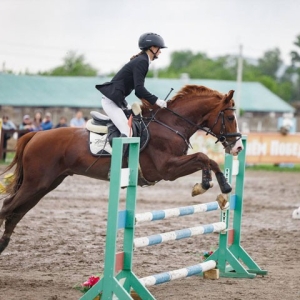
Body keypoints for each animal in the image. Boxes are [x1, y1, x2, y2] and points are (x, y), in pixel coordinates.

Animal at [0, 84, 244, 253]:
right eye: (231, 116)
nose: (238, 147)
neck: (170, 126)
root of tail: (35, 134)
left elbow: (206, 160)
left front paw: (205, 184)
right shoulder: (167, 170)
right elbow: (204, 157)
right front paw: (220, 185)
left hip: (46, 185)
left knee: (16, 212)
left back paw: (4, 243)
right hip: (36, 183)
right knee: (8, 207)